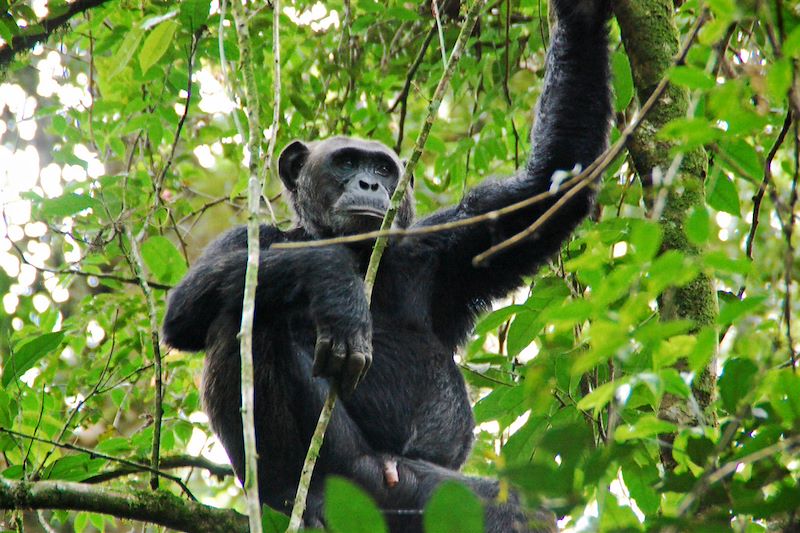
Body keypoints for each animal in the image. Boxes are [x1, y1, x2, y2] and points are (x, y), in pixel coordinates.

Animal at [164, 2, 612, 528]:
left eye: (382, 168)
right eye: (345, 162)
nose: (370, 184)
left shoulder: (447, 245)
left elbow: (550, 185)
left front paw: (582, 14)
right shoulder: (244, 238)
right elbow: (185, 310)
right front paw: (336, 287)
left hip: (425, 491)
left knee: (514, 510)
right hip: (346, 468)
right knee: (248, 317)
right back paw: (299, 495)